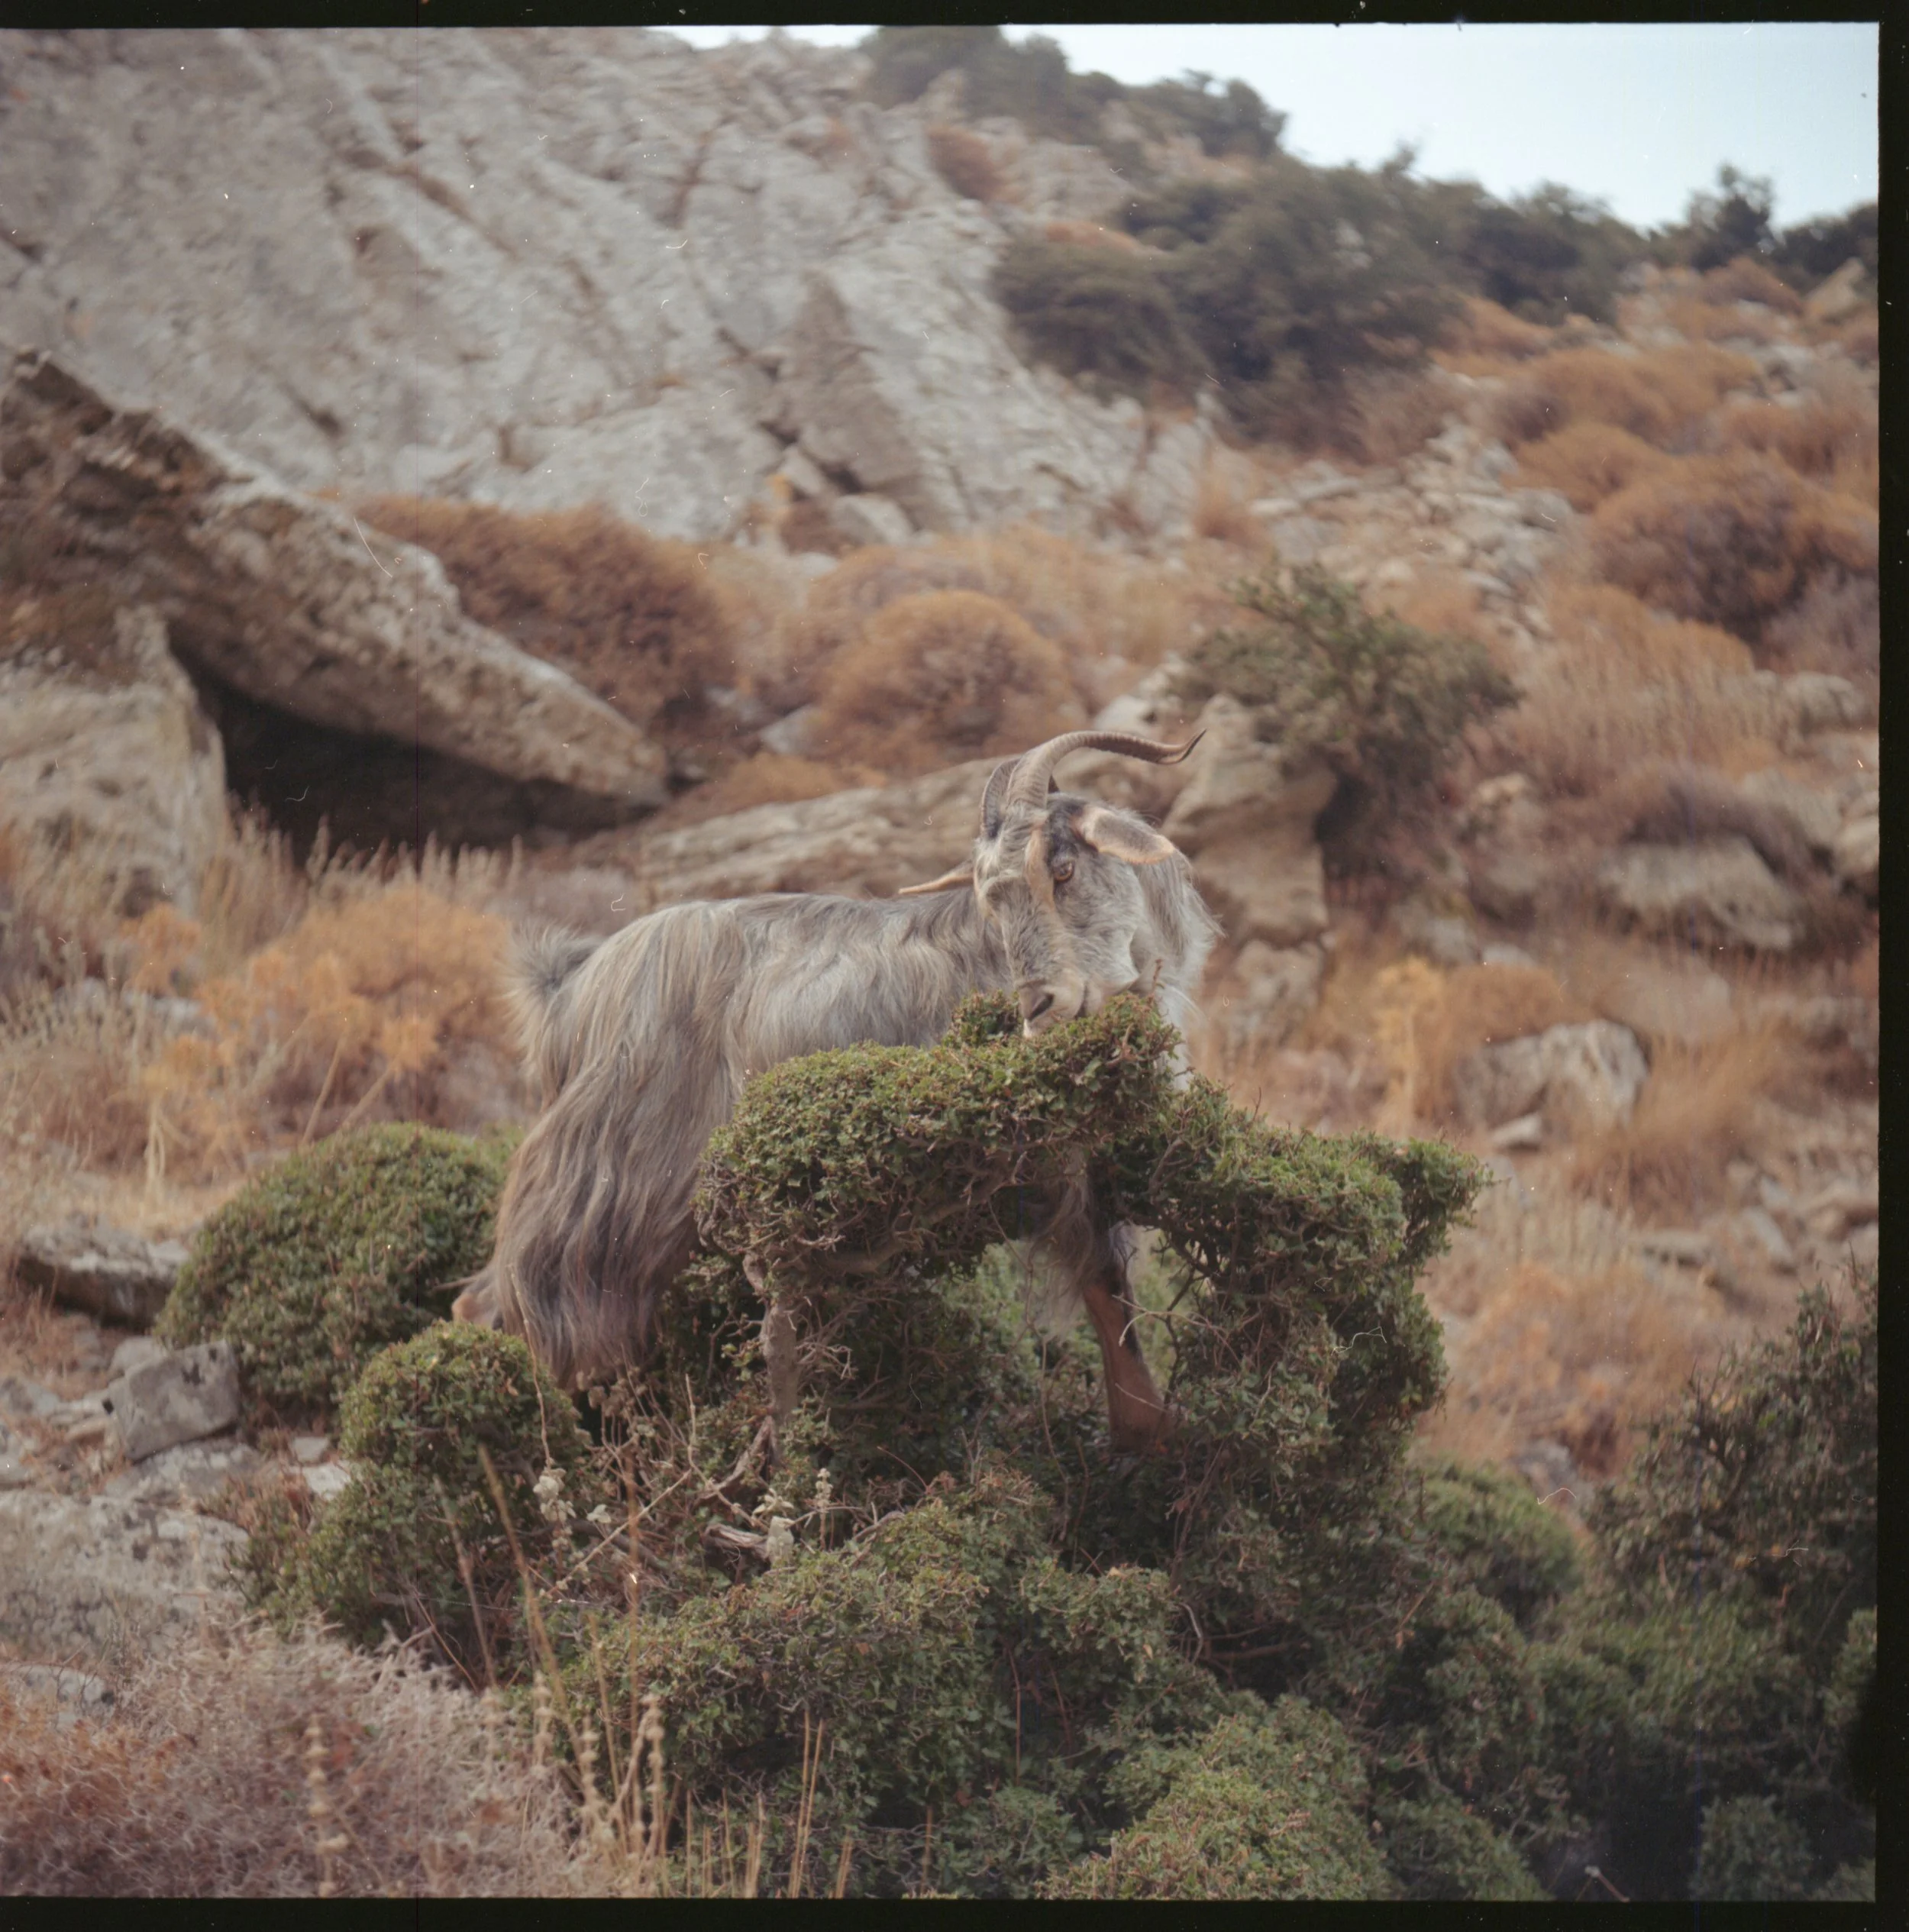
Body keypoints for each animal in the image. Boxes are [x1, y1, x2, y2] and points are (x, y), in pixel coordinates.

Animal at [453, 730, 1220, 1449]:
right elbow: (1110, 1297)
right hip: (603, 1190)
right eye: (992, 903)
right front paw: (1151, 1441)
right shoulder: (1065, 1172)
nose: (1038, 1008)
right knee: (506, 1304)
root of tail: (568, 987)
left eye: (1063, 868)